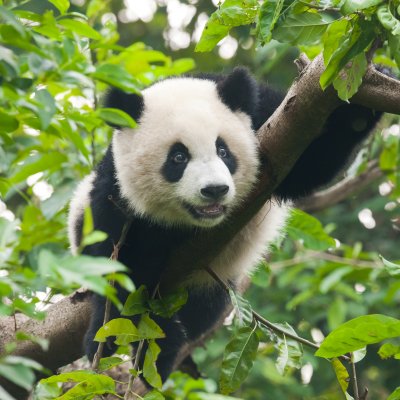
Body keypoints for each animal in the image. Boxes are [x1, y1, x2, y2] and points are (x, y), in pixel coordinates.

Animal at [69, 67, 382, 382]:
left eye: (223, 151)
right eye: (178, 157)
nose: (215, 190)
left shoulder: (271, 119)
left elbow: (310, 164)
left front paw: (363, 99)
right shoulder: (116, 191)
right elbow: (118, 263)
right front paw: (110, 336)